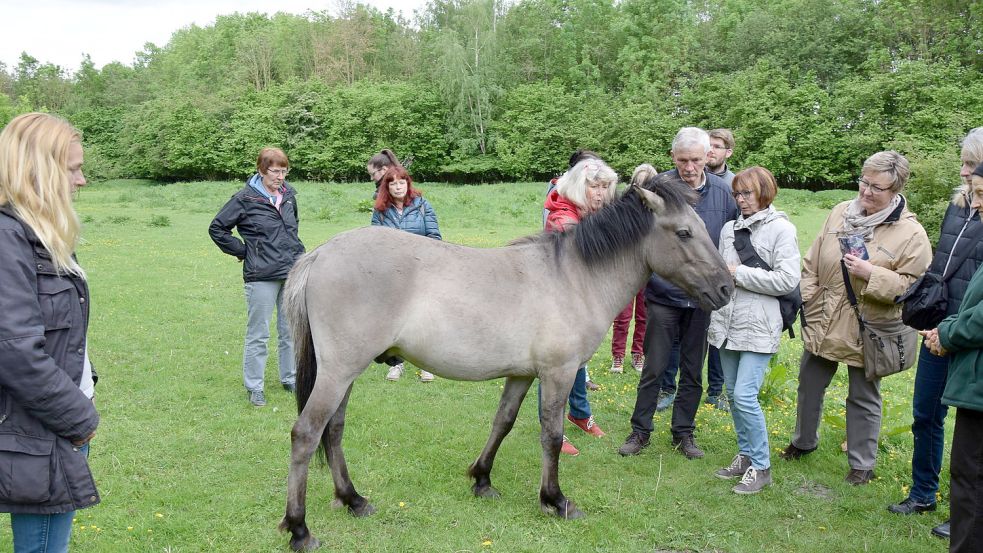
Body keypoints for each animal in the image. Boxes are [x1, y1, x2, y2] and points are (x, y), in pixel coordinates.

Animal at [276, 174, 732, 552]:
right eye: (685, 232)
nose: (726, 288)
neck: (574, 278)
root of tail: (320, 254)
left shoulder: (521, 375)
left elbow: (503, 422)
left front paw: (482, 480)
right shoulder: (558, 374)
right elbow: (552, 435)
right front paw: (556, 500)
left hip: (345, 374)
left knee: (333, 430)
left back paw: (353, 500)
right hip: (338, 372)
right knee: (306, 434)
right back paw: (300, 529)